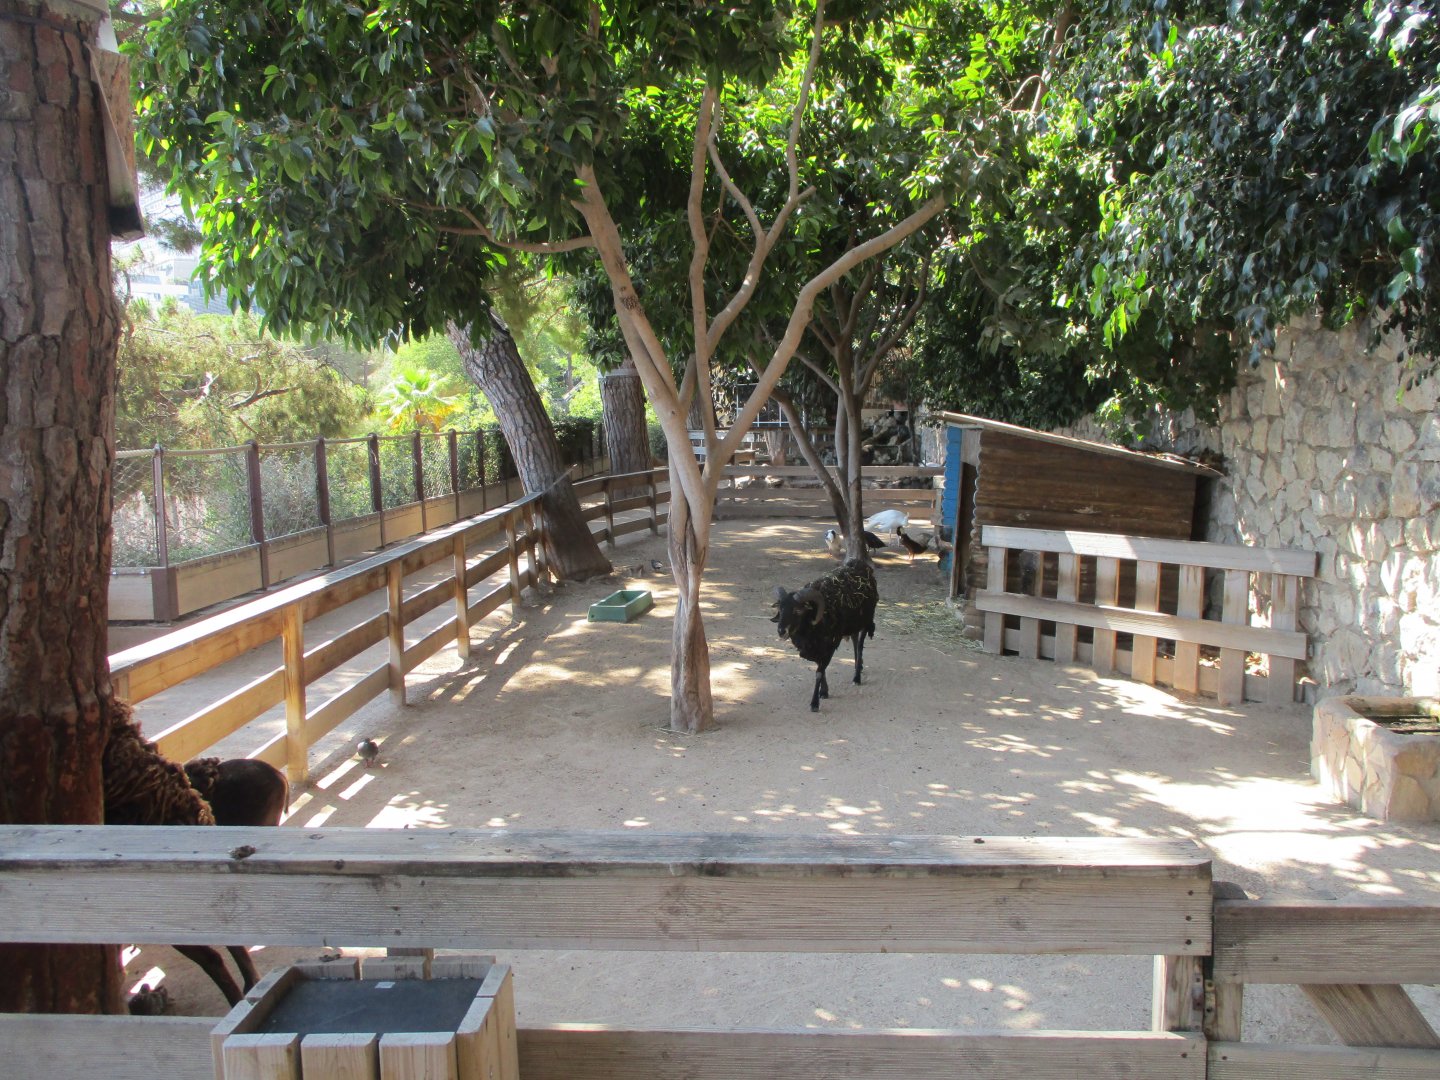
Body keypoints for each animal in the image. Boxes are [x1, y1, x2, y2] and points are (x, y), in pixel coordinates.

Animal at [770, 557, 878, 712]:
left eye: (798, 610)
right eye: (780, 607)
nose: (781, 631)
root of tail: (859, 563)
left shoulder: (830, 645)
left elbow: (819, 672)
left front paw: (814, 703)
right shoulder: (816, 648)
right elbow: (822, 669)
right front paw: (824, 692)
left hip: (866, 620)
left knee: (860, 646)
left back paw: (857, 677)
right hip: (852, 624)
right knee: (854, 639)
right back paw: (859, 666)